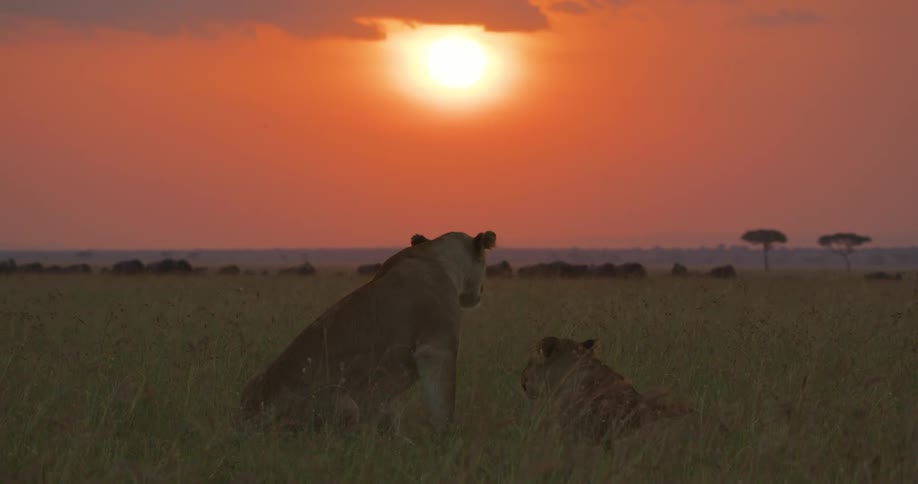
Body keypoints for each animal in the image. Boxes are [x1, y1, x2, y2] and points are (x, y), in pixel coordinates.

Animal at [239, 230, 497, 434]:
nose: (482, 292)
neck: (435, 256)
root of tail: (245, 419)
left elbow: (390, 414)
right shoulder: (437, 347)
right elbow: (443, 405)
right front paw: (444, 440)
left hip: (254, 378)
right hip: (345, 405)